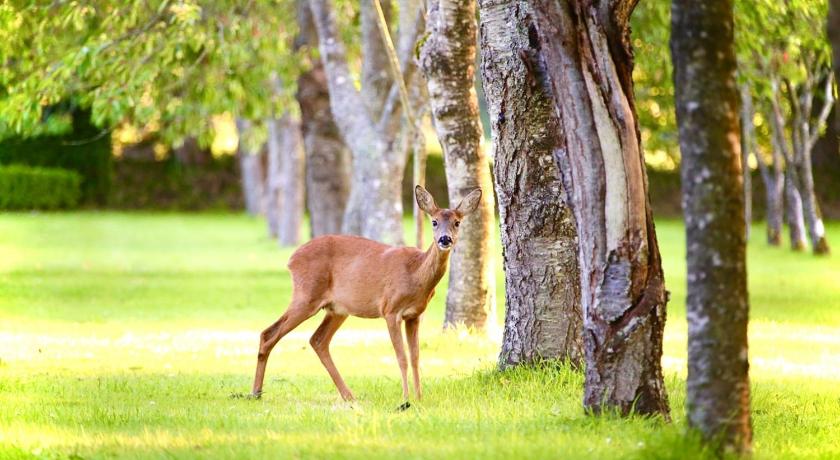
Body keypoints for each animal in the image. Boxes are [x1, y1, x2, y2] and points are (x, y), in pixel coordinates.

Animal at [249, 185, 482, 408]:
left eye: (457, 222)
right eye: (434, 222)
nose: (445, 239)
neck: (416, 274)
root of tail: (291, 260)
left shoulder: (414, 315)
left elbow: (415, 357)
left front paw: (420, 398)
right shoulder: (390, 310)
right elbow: (402, 358)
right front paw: (406, 399)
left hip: (337, 309)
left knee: (318, 340)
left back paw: (349, 396)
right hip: (306, 295)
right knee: (269, 333)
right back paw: (256, 392)